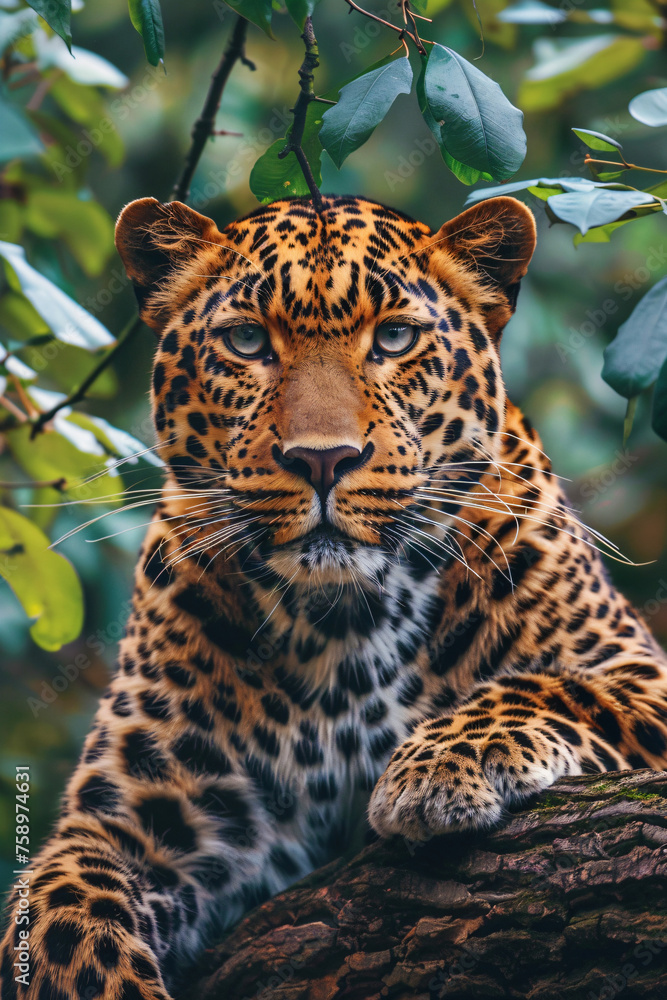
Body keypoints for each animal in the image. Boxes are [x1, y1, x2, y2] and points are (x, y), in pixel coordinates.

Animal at [2, 192, 667, 1000]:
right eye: (247, 340)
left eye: (396, 338)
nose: (323, 460)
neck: (343, 621)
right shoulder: (128, 825)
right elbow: (65, 915)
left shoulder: (637, 671)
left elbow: (553, 687)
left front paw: (436, 770)